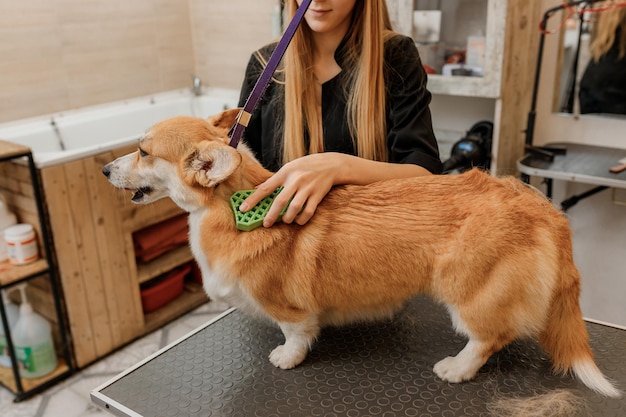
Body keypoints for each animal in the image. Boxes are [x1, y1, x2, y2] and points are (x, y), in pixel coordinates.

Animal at [102, 109, 620, 396]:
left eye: (144, 152)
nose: (105, 170)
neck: (231, 204)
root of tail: (546, 211)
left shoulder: (288, 309)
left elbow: (296, 334)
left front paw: (287, 359)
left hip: (468, 292)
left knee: (487, 338)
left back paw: (455, 369)